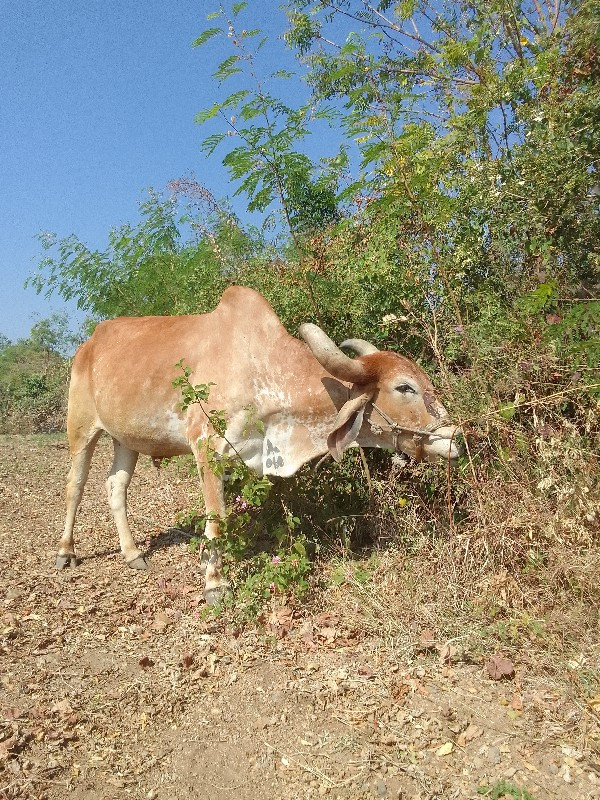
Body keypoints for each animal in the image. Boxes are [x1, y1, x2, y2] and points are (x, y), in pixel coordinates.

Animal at [57, 286, 464, 600]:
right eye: (404, 388)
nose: (455, 439)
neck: (262, 369)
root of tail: (89, 344)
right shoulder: (206, 446)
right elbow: (216, 518)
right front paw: (215, 584)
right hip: (81, 429)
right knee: (75, 485)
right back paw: (65, 552)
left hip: (125, 440)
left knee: (116, 486)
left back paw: (132, 554)